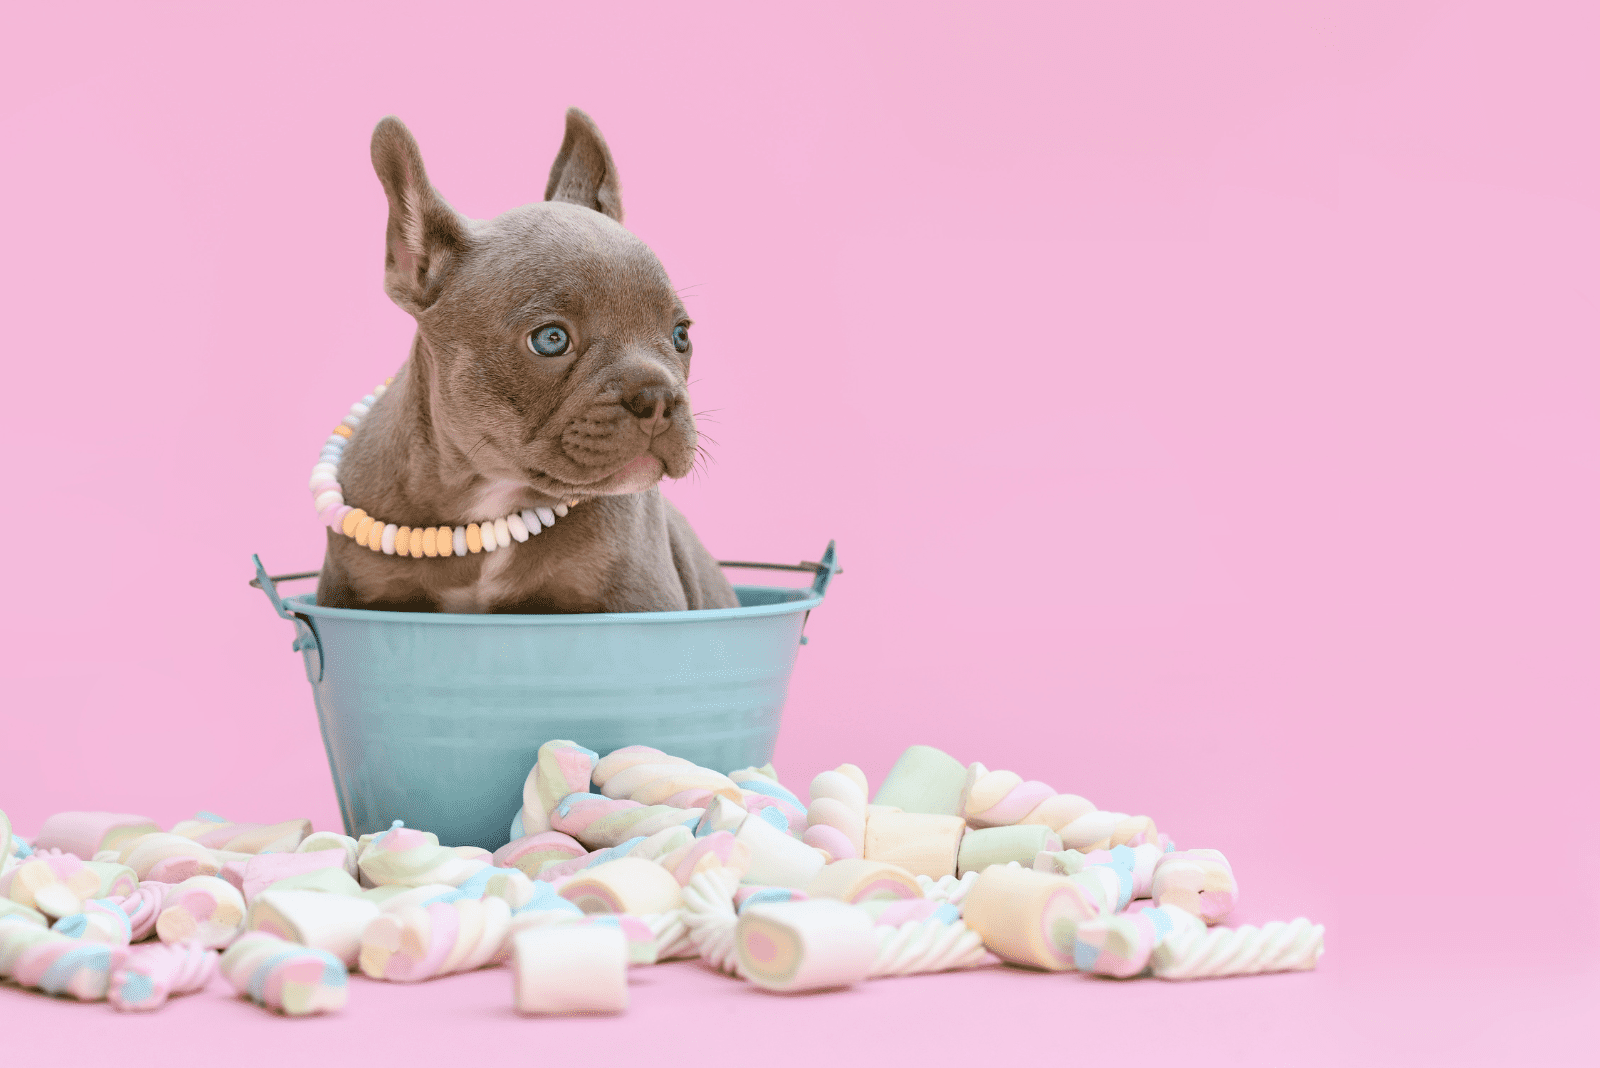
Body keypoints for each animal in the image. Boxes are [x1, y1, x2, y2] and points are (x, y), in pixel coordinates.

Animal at [315, 108, 739, 613]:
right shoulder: (356, 596)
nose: (657, 398)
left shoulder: (638, 599)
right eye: (551, 340)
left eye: (681, 336)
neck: (489, 497)